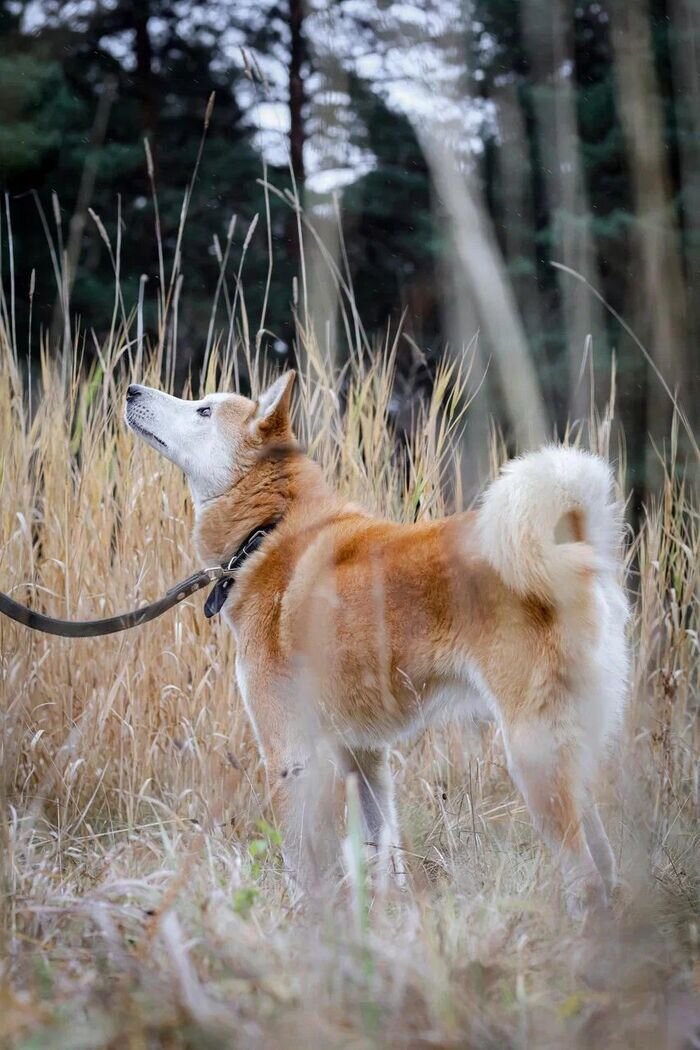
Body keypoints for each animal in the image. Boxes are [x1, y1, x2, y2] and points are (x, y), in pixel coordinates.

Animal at [125, 373, 629, 915]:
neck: (269, 530)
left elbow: (302, 862)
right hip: (570, 753)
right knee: (605, 862)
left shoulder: (290, 756)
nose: (132, 390)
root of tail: (573, 549)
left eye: (203, 410)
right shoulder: (361, 756)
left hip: (534, 754)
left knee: (586, 873)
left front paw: (306, 921)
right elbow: (382, 850)